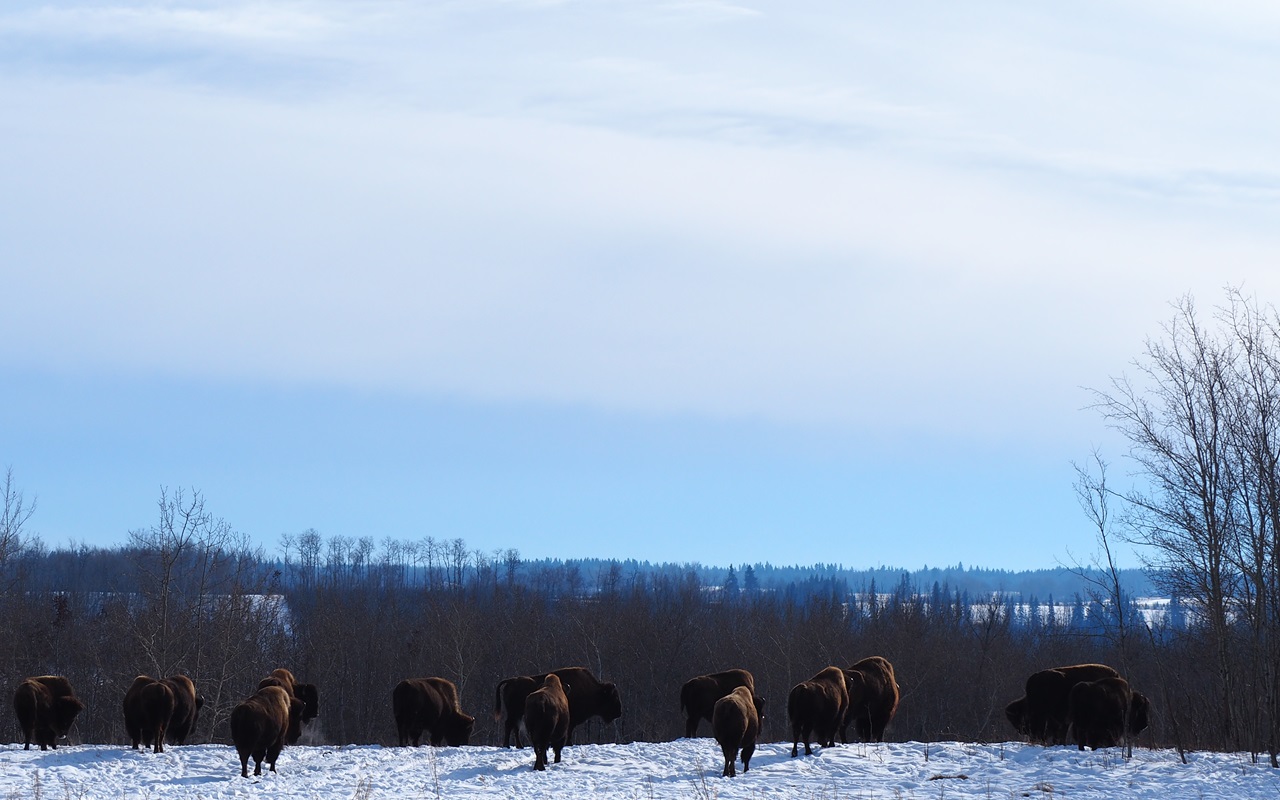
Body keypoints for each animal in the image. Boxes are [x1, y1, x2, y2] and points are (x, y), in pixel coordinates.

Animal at [493, 666, 622, 748]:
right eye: (614, 697)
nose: (619, 713)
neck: (594, 691)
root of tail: (512, 680)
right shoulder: (570, 719)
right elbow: (569, 731)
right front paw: (569, 743)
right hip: (514, 712)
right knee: (509, 725)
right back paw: (507, 745)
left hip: (518, 713)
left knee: (515, 727)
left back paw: (519, 746)